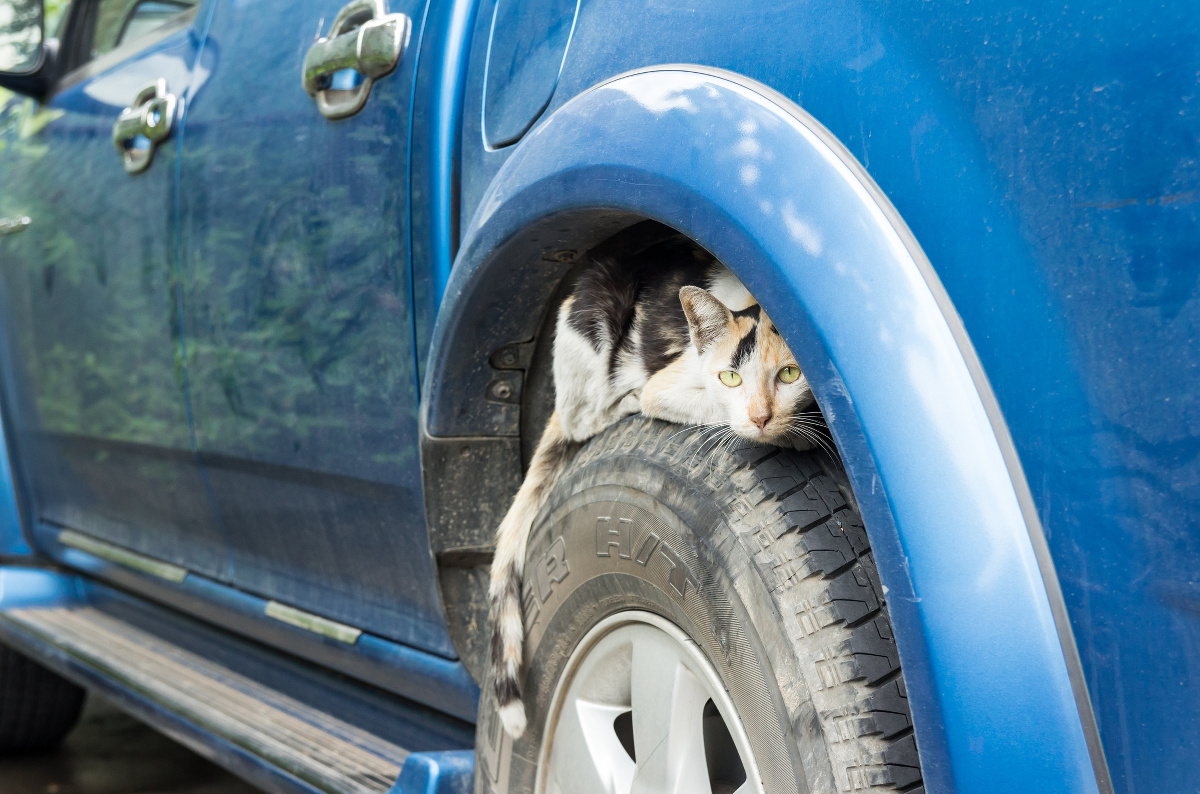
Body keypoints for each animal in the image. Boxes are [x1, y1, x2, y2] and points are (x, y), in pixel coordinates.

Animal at [484, 237, 816, 738]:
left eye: (790, 375)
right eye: (731, 378)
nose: (762, 416)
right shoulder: (671, 386)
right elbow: (709, 410)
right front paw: (791, 434)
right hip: (597, 305)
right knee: (585, 419)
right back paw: (621, 403)